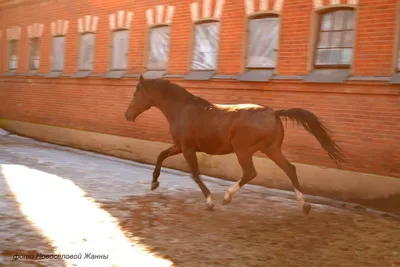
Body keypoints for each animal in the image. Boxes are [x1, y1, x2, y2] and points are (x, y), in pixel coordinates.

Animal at [125, 75, 344, 216]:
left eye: (136, 93)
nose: (127, 115)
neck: (182, 109)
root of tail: (274, 112)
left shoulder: (187, 148)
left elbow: (195, 173)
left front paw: (209, 201)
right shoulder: (179, 146)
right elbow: (161, 155)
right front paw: (154, 183)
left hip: (243, 150)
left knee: (250, 173)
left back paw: (227, 197)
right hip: (271, 149)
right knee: (290, 169)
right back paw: (305, 206)